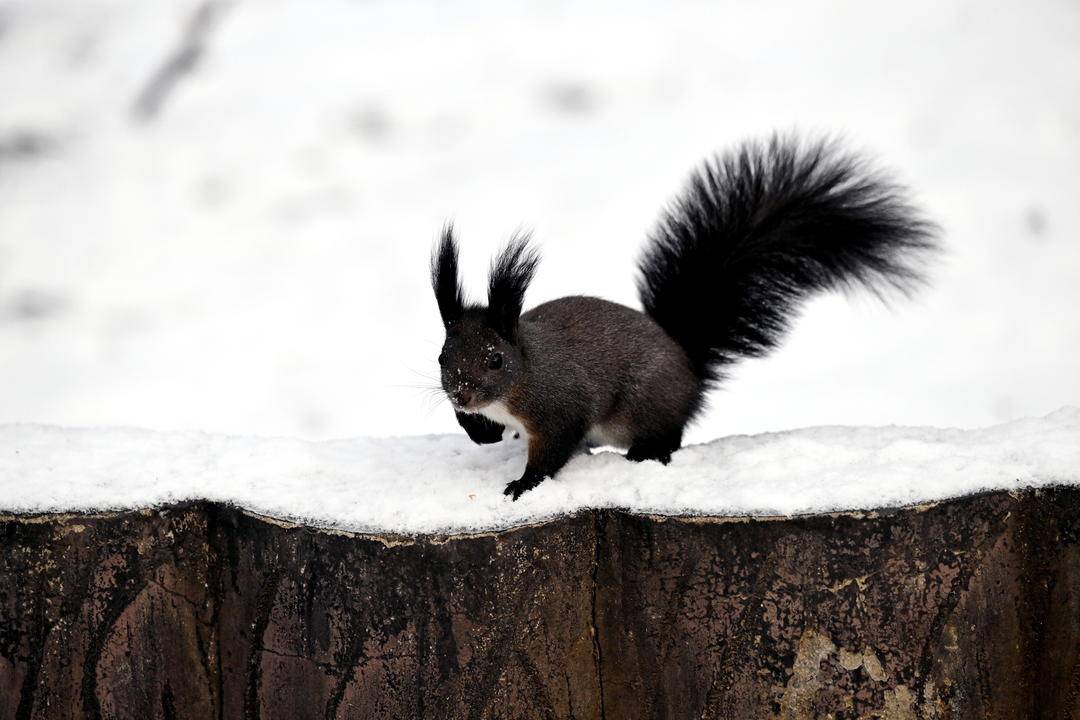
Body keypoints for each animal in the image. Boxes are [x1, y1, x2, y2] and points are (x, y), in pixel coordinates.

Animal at [429, 132, 937, 498]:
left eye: (496, 359)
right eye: (442, 357)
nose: (461, 394)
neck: (522, 376)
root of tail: (688, 364)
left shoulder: (558, 407)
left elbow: (553, 450)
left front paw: (523, 484)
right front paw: (479, 432)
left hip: (643, 403)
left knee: (669, 434)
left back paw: (647, 453)